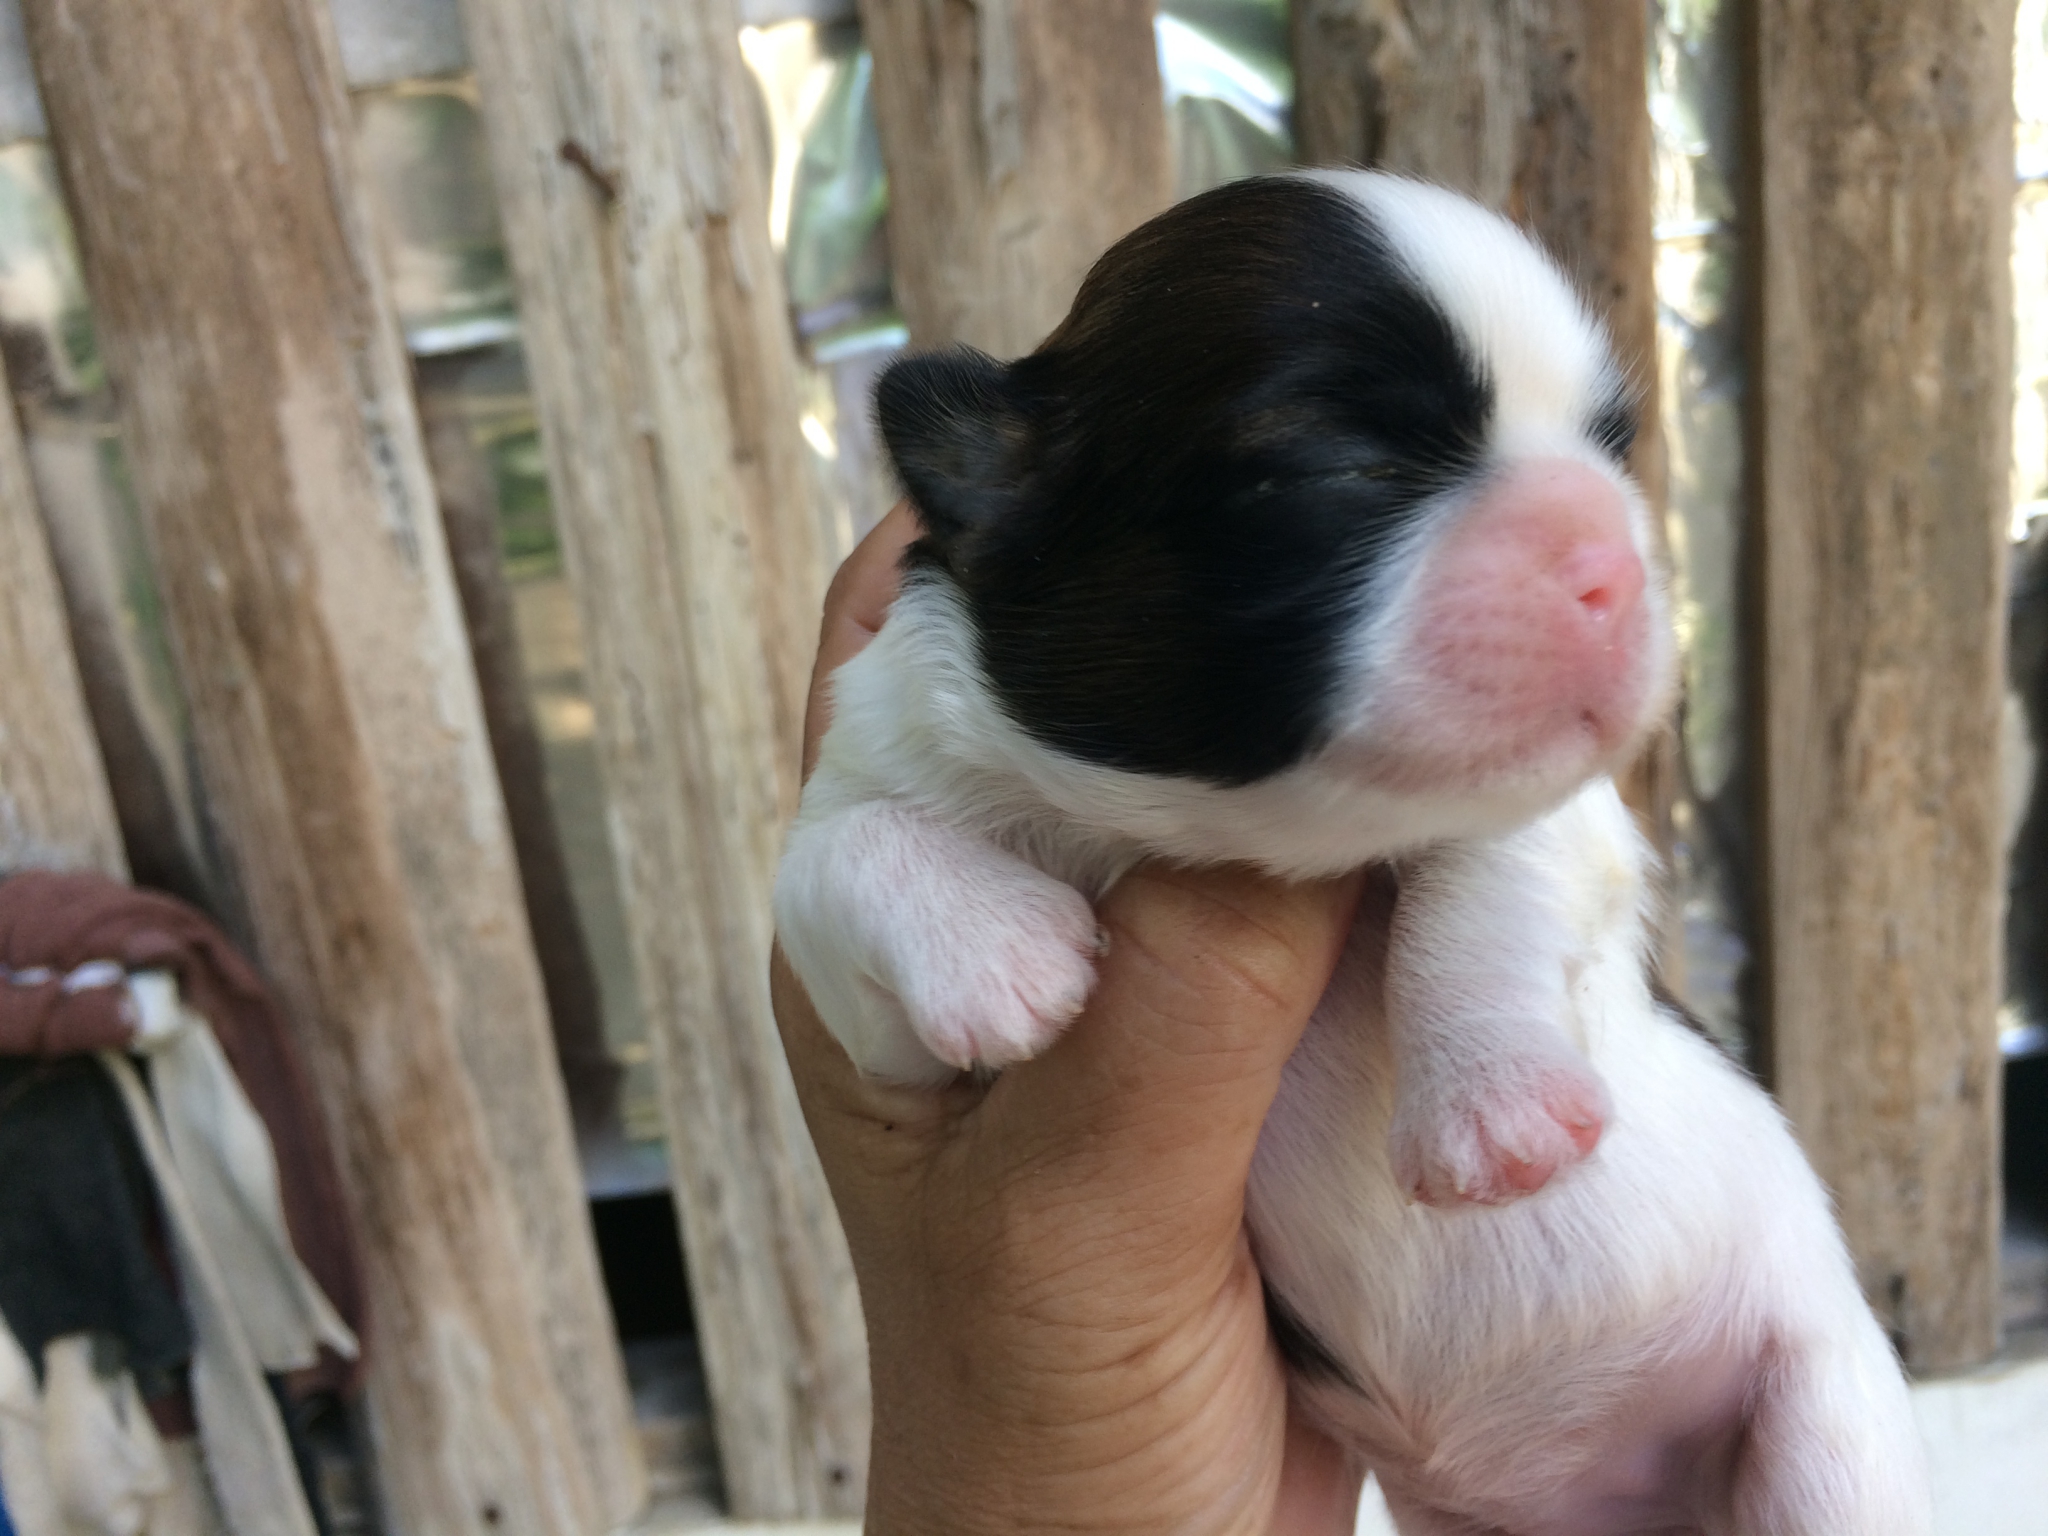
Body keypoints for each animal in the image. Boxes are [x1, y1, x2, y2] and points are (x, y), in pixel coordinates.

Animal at [774, 170, 1929, 1535]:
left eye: (1611, 451)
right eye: (1341, 466)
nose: (1613, 557)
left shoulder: (1566, 811)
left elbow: (1482, 877)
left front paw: (1491, 1108)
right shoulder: (883, 994)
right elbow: (833, 856)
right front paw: (1000, 956)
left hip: (1823, 1421)